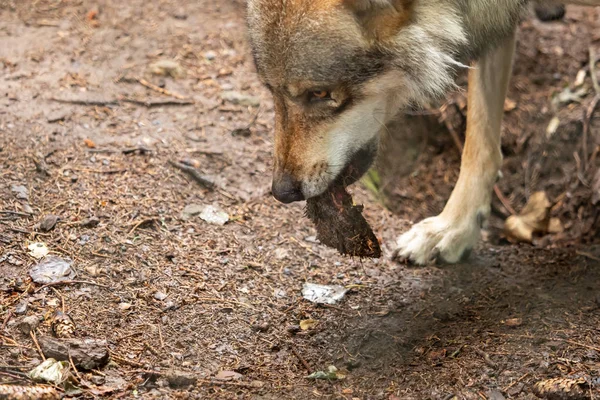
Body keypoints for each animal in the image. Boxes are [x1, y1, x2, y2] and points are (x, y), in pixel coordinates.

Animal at [245, 0, 600, 266]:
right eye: (270, 90)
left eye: (319, 93)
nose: (282, 191)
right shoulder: (490, 25)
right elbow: (479, 143)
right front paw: (454, 227)